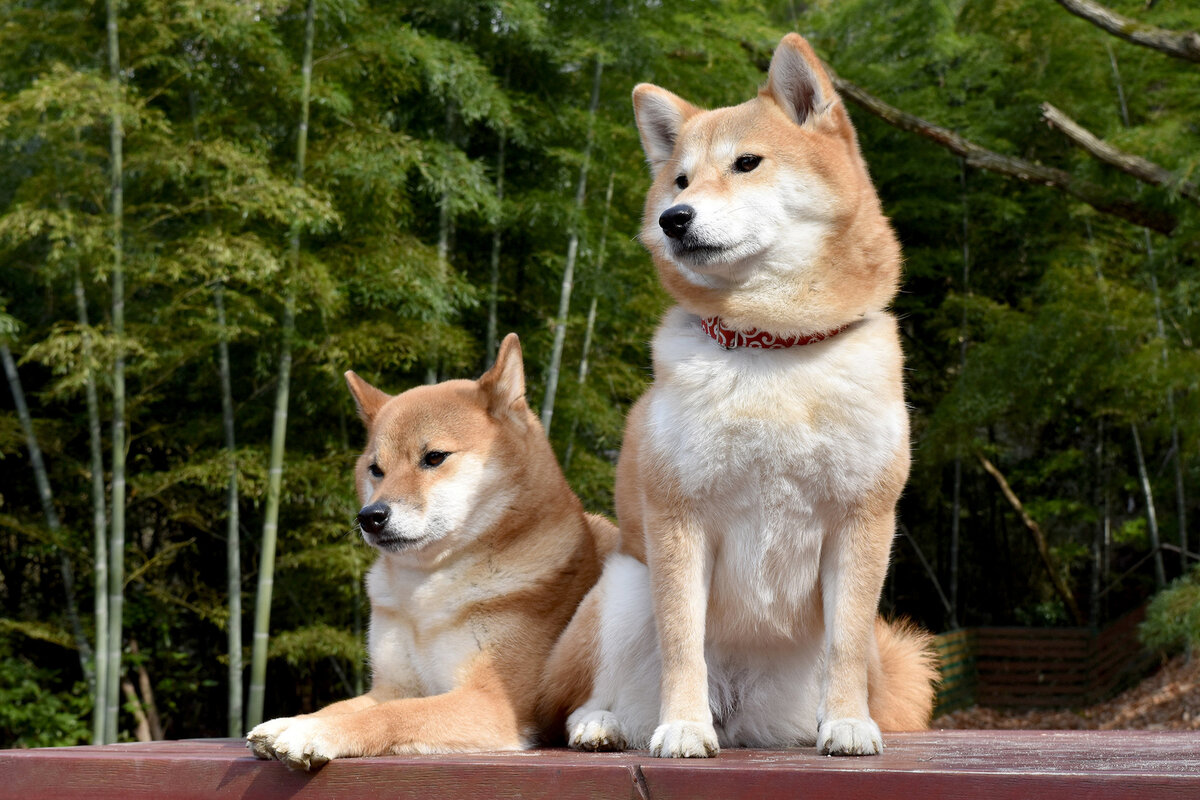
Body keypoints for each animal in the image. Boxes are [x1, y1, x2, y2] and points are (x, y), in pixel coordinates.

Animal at [247, 333, 614, 767]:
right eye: (376, 469)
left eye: (434, 457)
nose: (370, 516)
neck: (425, 592)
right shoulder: (392, 686)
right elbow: (341, 706)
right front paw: (289, 722)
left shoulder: (491, 701)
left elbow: (393, 715)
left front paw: (313, 733)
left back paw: (598, 723)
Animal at [542, 32, 936, 758]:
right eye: (680, 180)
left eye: (746, 163)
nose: (674, 218)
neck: (772, 345)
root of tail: (741, 709)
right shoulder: (678, 517)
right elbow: (682, 641)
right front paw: (683, 727)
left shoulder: (864, 519)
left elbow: (846, 642)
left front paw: (847, 723)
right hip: (621, 589)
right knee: (587, 700)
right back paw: (604, 724)